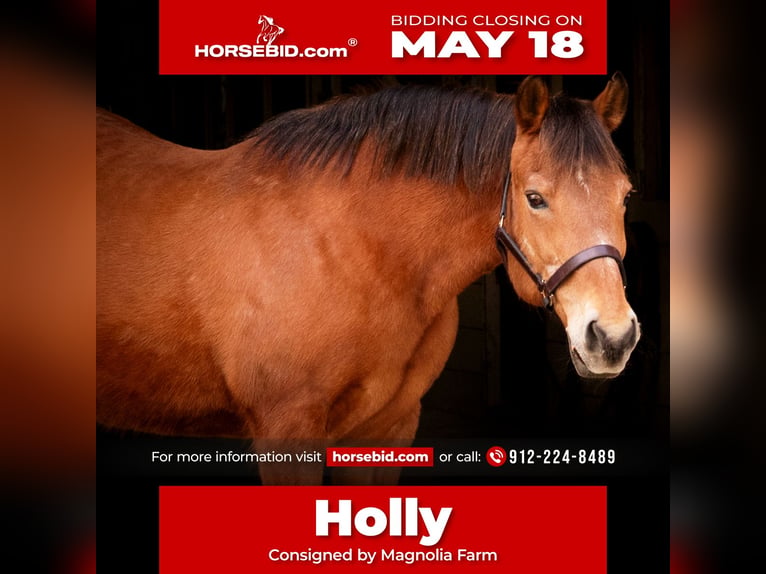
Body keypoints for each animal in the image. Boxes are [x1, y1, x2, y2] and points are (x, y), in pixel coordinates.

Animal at [97, 75, 639, 485]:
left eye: (626, 195)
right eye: (535, 198)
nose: (613, 338)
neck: (359, 249)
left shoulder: (386, 429)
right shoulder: (287, 433)